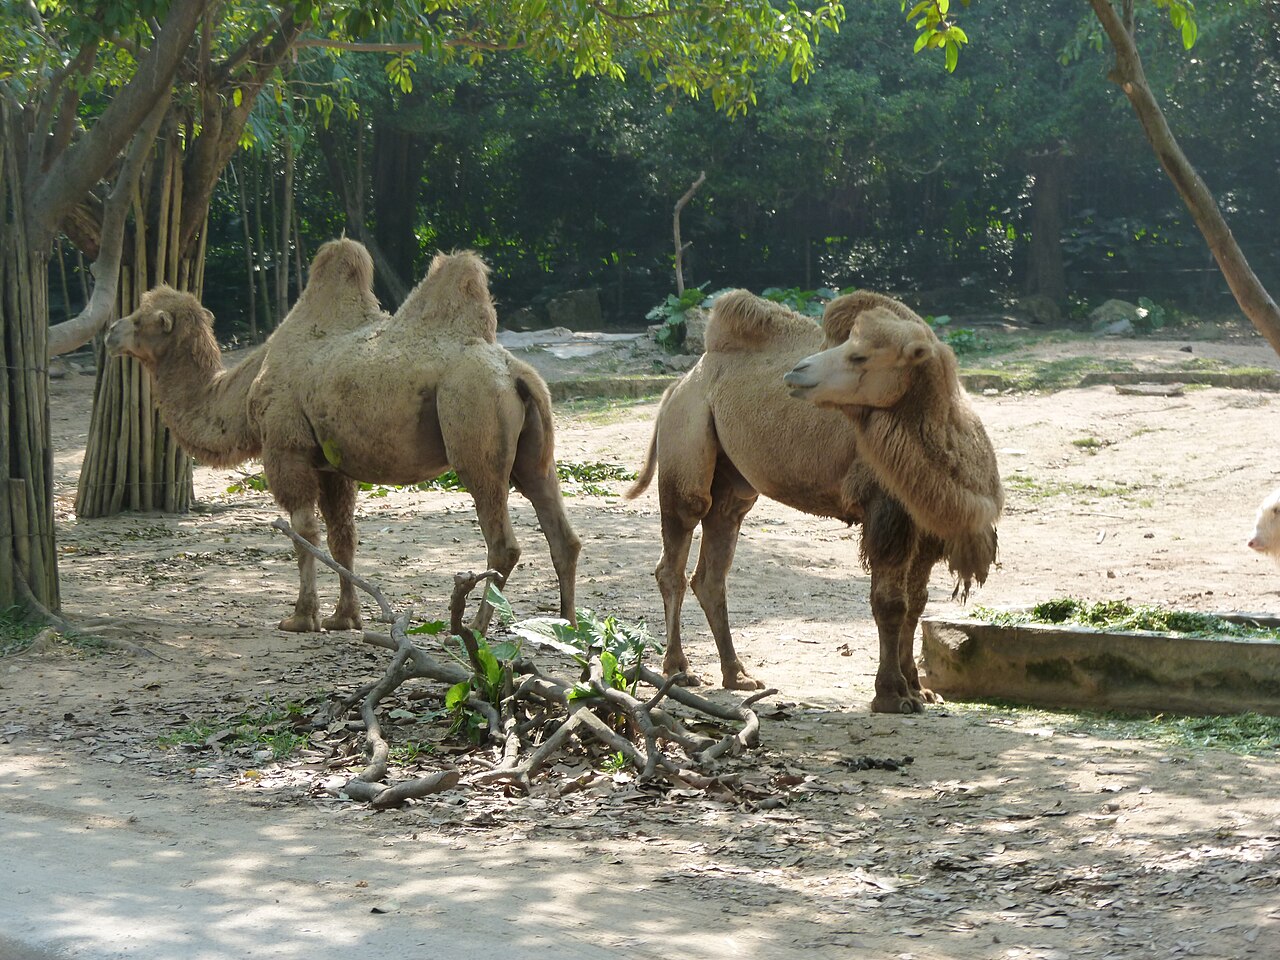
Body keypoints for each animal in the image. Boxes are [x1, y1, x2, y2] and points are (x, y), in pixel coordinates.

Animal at [106, 238, 580, 634]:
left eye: (142, 319)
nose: (111, 331)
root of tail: (516, 374)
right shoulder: (332, 464)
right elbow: (342, 537)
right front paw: (344, 617)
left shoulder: (286, 448)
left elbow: (303, 533)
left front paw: (301, 618)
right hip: (532, 448)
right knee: (560, 530)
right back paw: (569, 630)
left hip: (473, 419)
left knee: (502, 542)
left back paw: (472, 630)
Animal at [626, 289, 1002, 713]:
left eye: (860, 356)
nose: (797, 372)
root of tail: (679, 384)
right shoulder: (885, 509)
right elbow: (891, 603)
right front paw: (891, 695)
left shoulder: (925, 524)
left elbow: (917, 602)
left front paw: (918, 688)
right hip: (687, 437)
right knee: (677, 546)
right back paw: (679, 669)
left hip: (734, 482)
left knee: (713, 562)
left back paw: (737, 675)